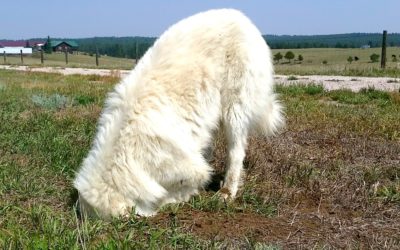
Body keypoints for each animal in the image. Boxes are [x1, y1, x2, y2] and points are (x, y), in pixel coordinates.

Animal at [72, 8, 284, 218]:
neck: (123, 152)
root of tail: (239, 15)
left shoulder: (183, 169)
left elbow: (174, 190)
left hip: (234, 107)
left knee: (236, 152)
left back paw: (227, 191)